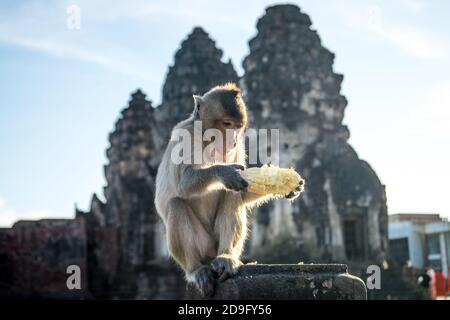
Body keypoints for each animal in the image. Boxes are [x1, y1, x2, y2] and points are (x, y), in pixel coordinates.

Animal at [154, 82, 302, 296]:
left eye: (237, 127)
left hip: (216, 244)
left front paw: (290, 187)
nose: (231, 140)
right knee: (176, 203)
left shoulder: (239, 147)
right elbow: (183, 183)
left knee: (231, 195)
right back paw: (196, 269)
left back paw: (225, 257)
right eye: (226, 124)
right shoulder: (184, 135)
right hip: (202, 244)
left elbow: (243, 187)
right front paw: (225, 172)